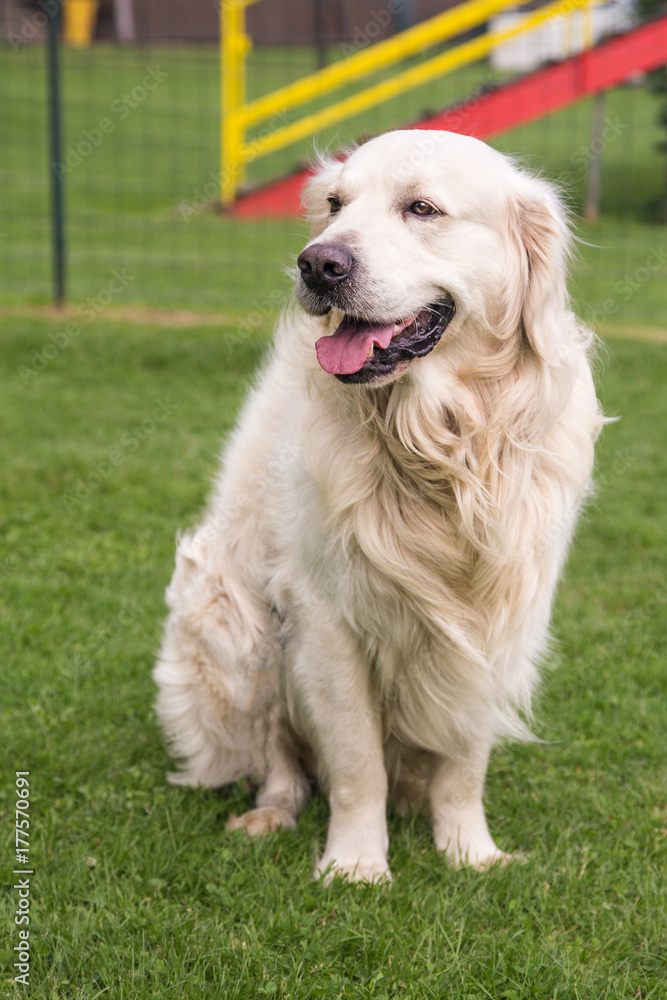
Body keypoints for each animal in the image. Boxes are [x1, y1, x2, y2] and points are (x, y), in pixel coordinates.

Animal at [154, 130, 603, 882]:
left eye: (421, 208)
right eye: (335, 204)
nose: (317, 264)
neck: (440, 446)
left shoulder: (497, 614)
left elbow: (464, 763)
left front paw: (469, 851)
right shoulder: (324, 615)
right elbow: (356, 758)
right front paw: (356, 865)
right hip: (227, 616)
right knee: (276, 757)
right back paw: (267, 815)